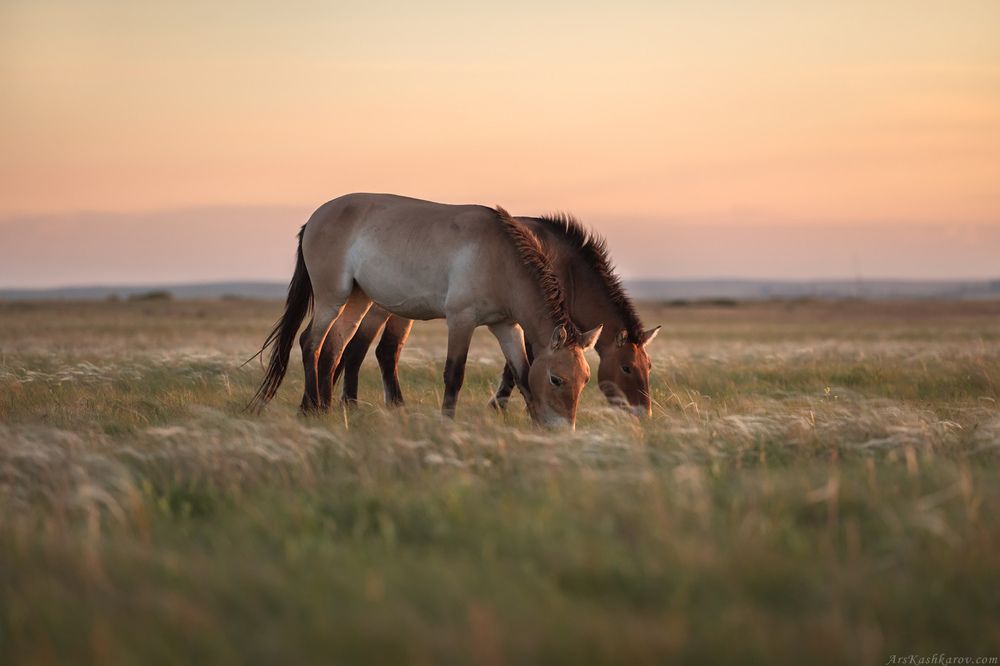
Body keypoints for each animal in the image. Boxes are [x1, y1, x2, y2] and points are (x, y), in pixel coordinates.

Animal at [247, 193, 602, 428]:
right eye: (557, 379)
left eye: (585, 379)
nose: (563, 431)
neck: (500, 258)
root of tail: (314, 219)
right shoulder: (461, 321)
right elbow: (454, 375)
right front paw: (447, 423)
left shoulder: (506, 326)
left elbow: (522, 373)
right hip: (332, 297)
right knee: (311, 343)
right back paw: (312, 410)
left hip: (358, 299)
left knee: (334, 348)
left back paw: (326, 409)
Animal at [331, 214, 661, 416]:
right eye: (627, 368)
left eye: (648, 366)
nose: (643, 413)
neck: (562, 265)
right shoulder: (531, 325)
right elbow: (516, 370)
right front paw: (500, 406)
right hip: (382, 309)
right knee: (363, 350)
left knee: (374, 351)